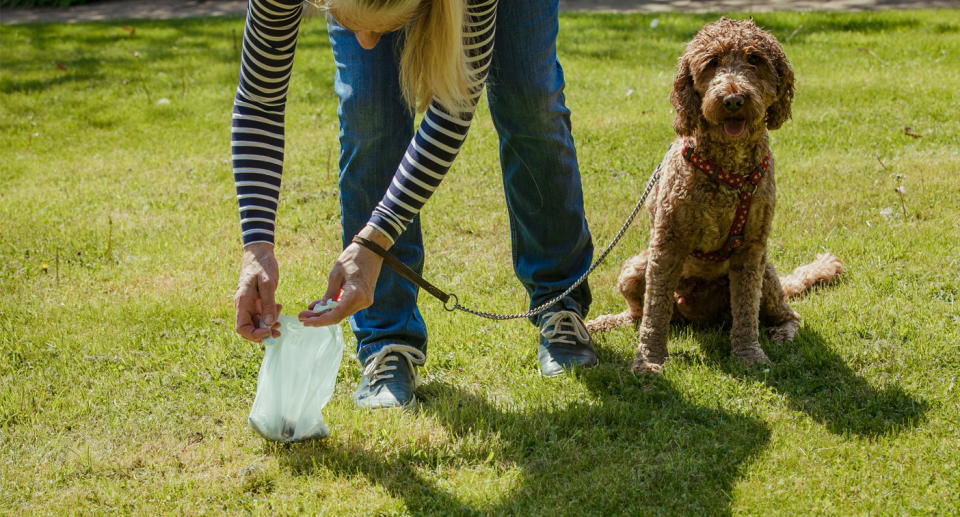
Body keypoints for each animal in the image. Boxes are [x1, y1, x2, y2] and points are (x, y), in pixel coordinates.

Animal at [584, 16, 840, 370]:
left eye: (754, 60)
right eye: (711, 63)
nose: (732, 99)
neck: (727, 172)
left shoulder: (751, 250)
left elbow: (746, 311)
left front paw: (749, 355)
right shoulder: (667, 244)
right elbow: (654, 310)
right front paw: (649, 361)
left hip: (766, 277)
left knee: (788, 314)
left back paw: (781, 333)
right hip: (634, 269)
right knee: (638, 314)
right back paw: (604, 323)